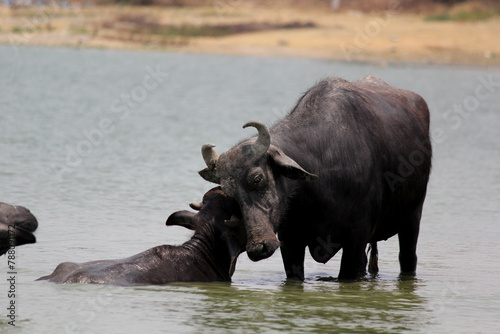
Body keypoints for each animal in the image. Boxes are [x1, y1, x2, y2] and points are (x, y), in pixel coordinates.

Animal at [197, 75, 432, 280]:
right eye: (230, 194)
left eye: (257, 179)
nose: (258, 248)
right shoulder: (290, 240)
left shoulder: (356, 239)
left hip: (413, 217)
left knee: (408, 257)